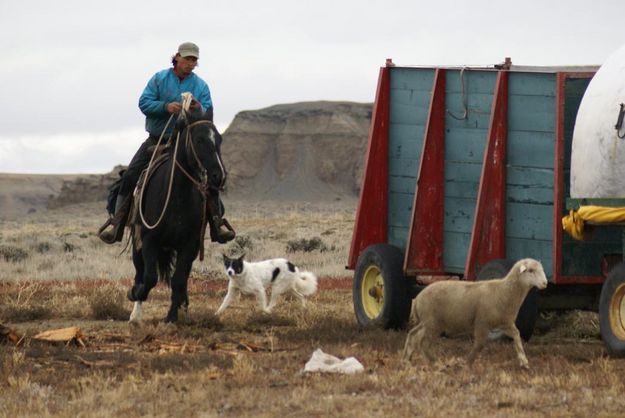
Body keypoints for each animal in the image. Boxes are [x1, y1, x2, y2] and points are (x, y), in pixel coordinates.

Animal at [126, 108, 224, 324]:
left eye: (219, 139)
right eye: (199, 140)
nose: (219, 176)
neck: (176, 196)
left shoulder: (190, 245)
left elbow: (178, 279)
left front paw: (172, 316)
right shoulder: (149, 240)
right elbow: (150, 277)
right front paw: (136, 293)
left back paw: (183, 304)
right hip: (138, 243)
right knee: (140, 272)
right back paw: (135, 313)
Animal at [402, 256, 544, 368]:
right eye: (530, 270)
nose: (545, 282)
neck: (504, 291)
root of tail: (418, 298)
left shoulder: (505, 323)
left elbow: (517, 335)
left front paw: (524, 361)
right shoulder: (482, 323)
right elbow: (479, 344)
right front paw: (468, 362)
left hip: (426, 322)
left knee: (413, 335)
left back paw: (407, 359)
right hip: (432, 323)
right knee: (424, 343)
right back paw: (436, 363)